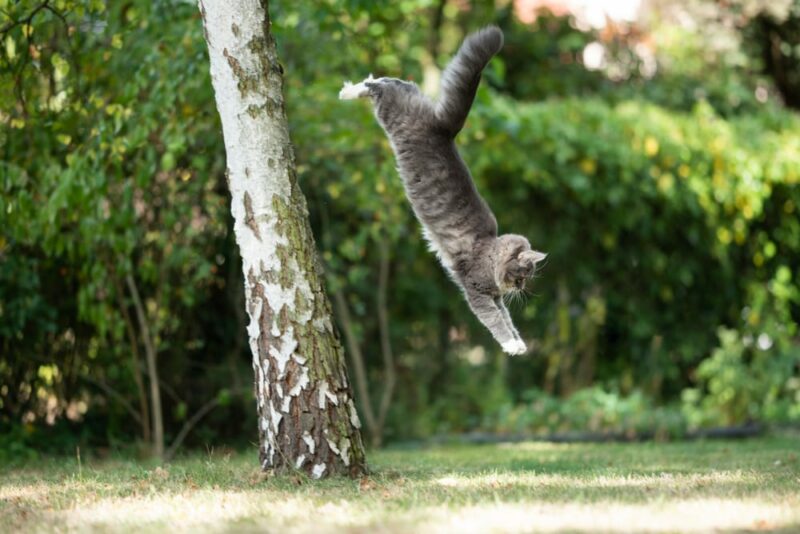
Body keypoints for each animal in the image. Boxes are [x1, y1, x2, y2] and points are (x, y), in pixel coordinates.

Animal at [338, 27, 544, 358]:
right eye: (523, 275)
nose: (522, 289)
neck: (490, 253)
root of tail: (445, 129)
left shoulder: (495, 297)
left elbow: (508, 320)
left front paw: (519, 343)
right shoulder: (478, 293)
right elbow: (497, 323)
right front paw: (512, 344)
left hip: (405, 99)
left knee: (394, 81)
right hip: (391, 113)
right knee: (377, 87)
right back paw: (347, 92)